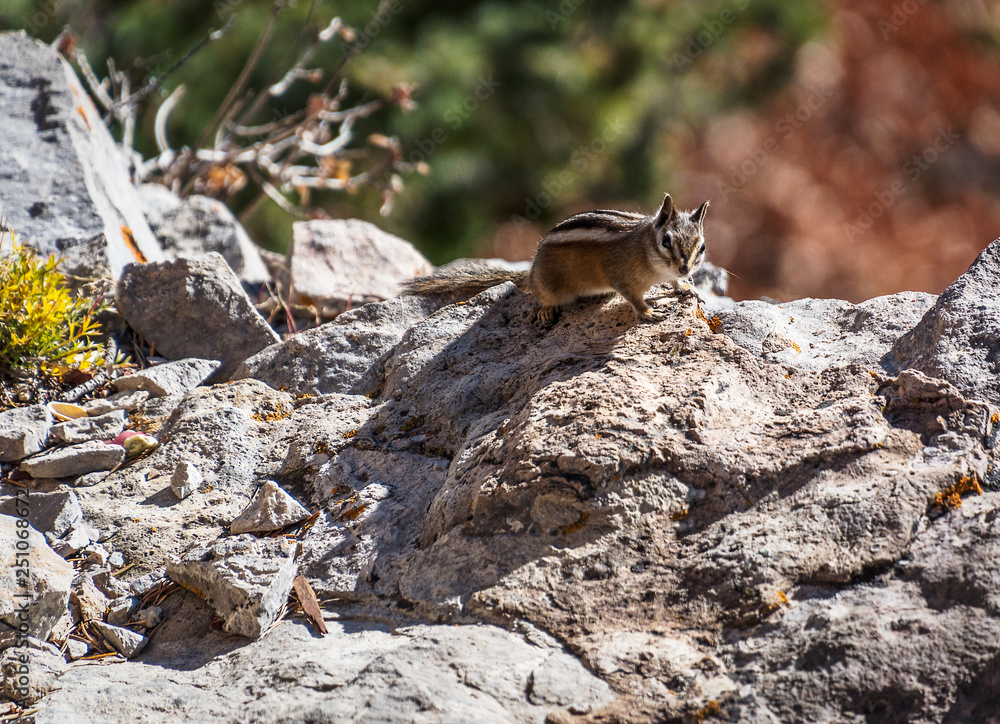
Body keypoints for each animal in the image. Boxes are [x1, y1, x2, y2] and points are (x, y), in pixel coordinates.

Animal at [402, 193, 709, 325]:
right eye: (666, 241)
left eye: (702, 247)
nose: (685, 267)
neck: (645, 247)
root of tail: (531, 274)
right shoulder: (621, 275)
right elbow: (633, 298)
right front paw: (647, 312)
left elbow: (674, 285)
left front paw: (686, 288)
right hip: (549, 286)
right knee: (542, 298)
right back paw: (546, 310)